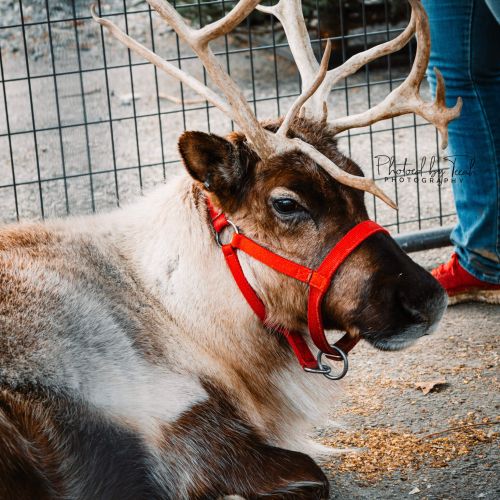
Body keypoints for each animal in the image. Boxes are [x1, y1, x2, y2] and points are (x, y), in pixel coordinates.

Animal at [0, 0, 461, 498]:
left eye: (358, 179)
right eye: (286, 202)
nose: (427, 299)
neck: (183, 315)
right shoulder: (186, 436)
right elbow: (313, 476)